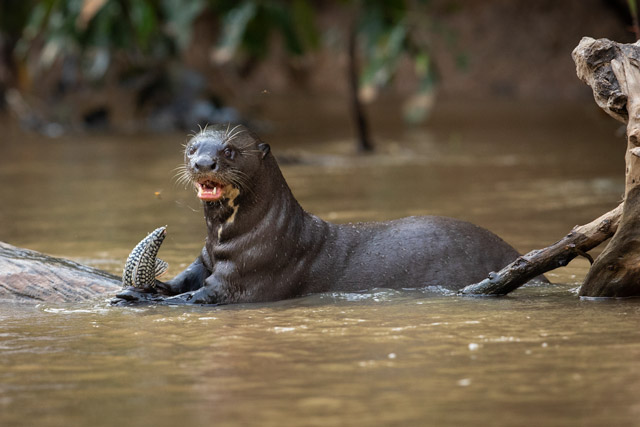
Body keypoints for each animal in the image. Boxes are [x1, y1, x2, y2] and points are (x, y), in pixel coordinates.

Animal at [116, 124, 522, 305]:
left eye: (229, 150)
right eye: (192, 148)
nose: (203, 163)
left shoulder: (246, 273)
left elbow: (195, 296)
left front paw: (139, 298)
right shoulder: (205, 258)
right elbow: (184, 280)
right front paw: (152, 287)